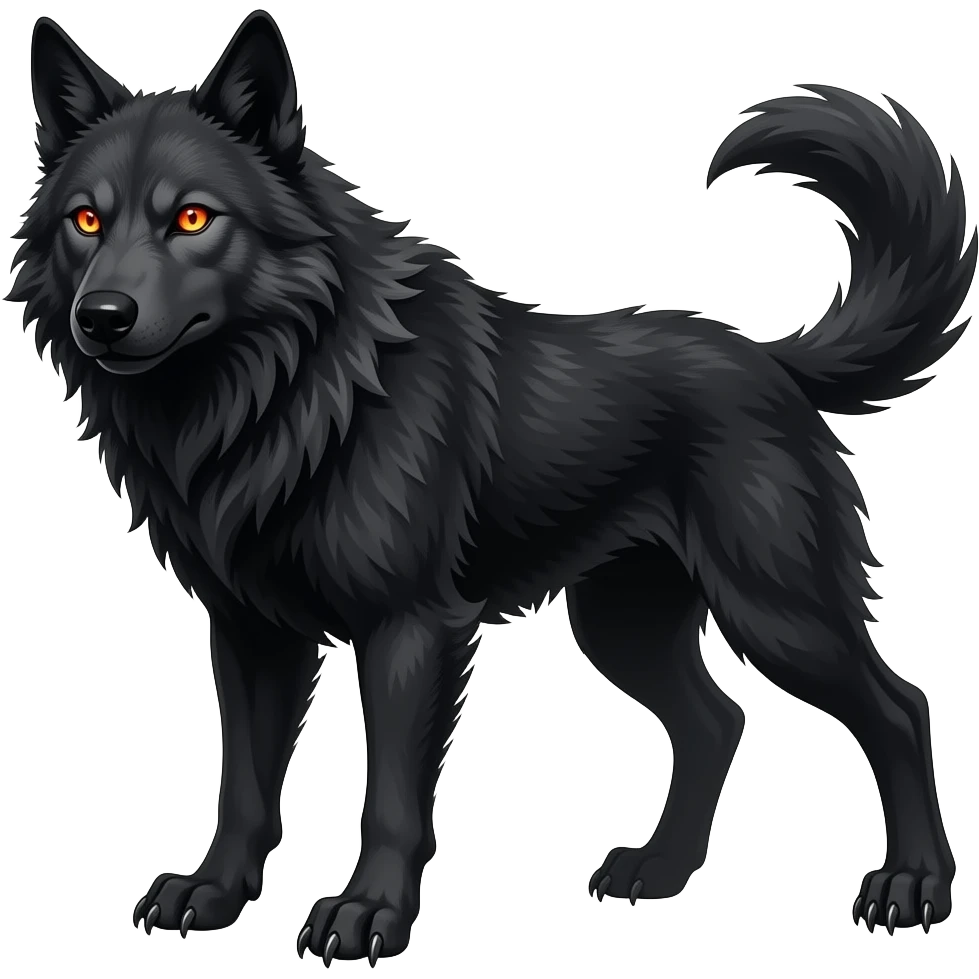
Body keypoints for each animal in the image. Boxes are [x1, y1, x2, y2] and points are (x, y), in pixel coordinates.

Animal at [7, 9, 972, 964]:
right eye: (86, 220)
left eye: (193, 217)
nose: (102, 316)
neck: (287, 391)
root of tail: (773, 362)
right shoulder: (249, 632)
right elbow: (243, 785)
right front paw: (213, 893)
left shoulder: (408, 630)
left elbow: (391, 798)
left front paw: (368, 912)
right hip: (620, 624)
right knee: (716, 721)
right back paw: (660, 871)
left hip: (774, 610)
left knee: (899, 708)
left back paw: (911, 885)